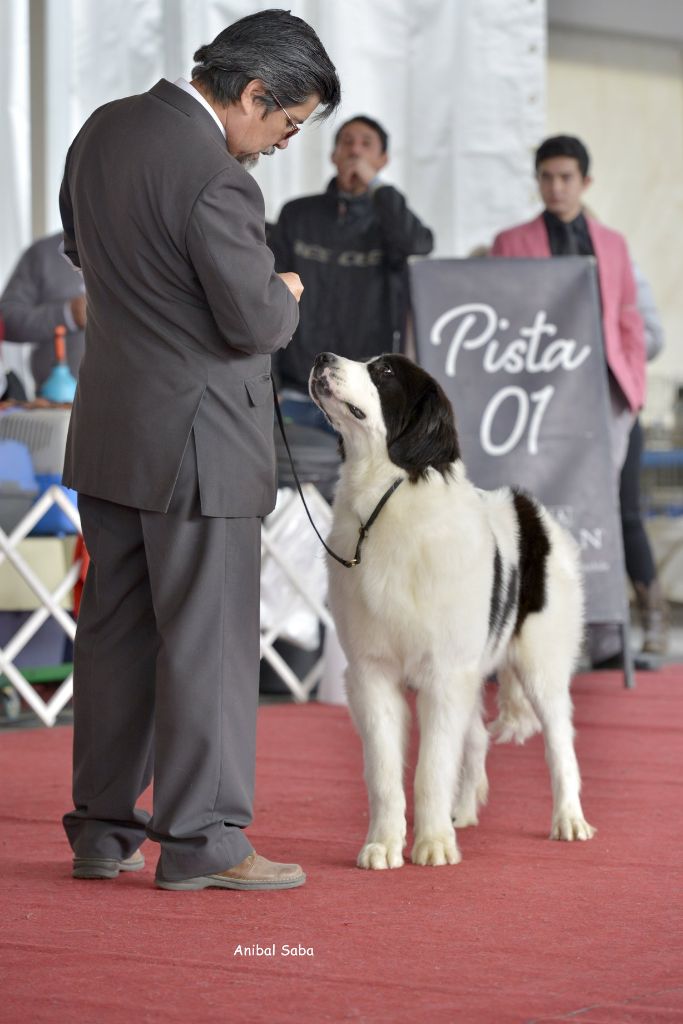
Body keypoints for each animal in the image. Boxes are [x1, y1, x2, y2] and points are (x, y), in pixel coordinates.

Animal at [307, 354, 593, 872]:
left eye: (384, 372)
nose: (321, 358)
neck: (388, 498)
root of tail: (530, 510)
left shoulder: (444, 672)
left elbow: (432, 766)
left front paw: (434, 843)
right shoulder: (372, 672)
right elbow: (384, 770)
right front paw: (383, 845)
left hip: (541, 663)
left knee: (559, 741)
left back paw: (569, 819)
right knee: (476, 738)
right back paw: (463, 811)